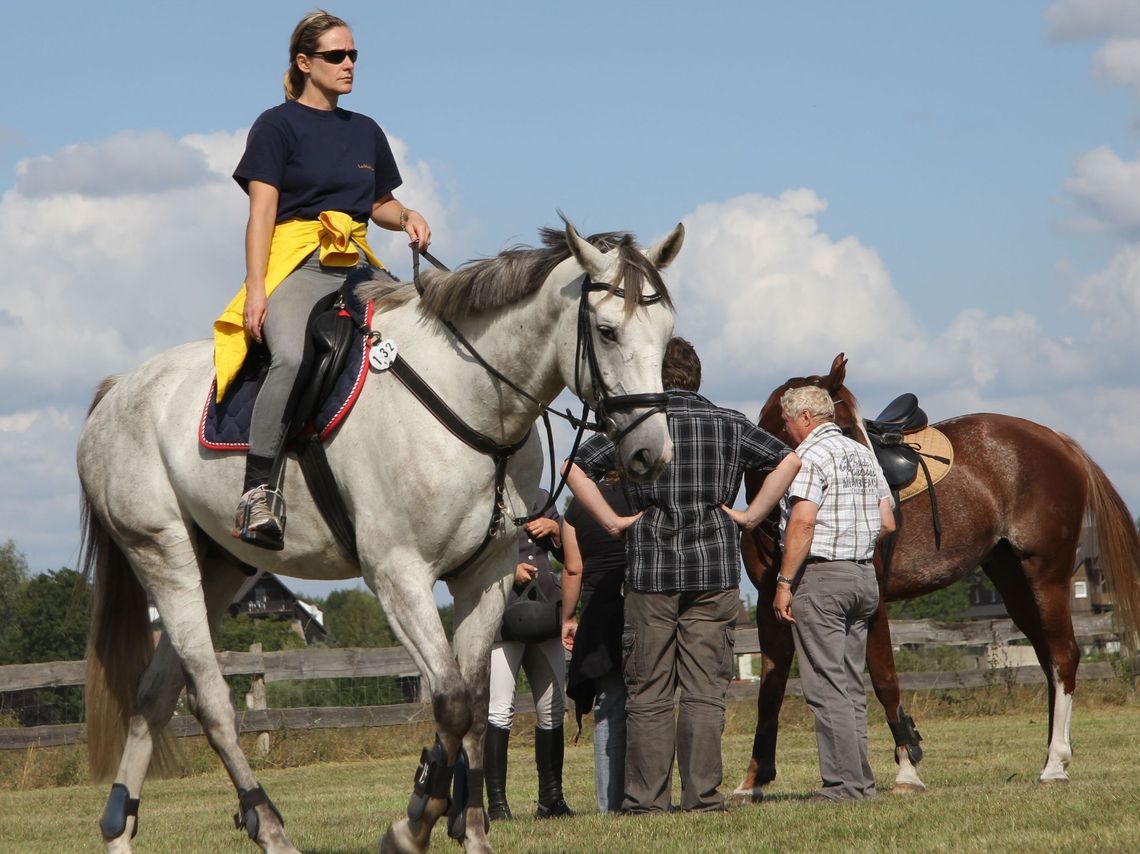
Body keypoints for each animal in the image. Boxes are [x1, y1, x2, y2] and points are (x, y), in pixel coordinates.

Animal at [82, 221, 684, 852]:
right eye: (607, 331)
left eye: (667, 333)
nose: (651, 455)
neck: (471, 395)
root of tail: (119, 390)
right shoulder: (399, 575)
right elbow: (450, 702)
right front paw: (412, 825)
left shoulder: (486, 576)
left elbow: (472, 703)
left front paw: (468, 828)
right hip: (163, 553)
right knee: (210, 699)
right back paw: (267, 826)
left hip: (219, 566)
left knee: (155, 695)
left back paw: (121, 829)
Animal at [729, 353, 1140, 798]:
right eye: (841, 432)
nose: (879, 503)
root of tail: (1059, 442)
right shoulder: (773, 607)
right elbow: (770, 691)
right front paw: (752, 781)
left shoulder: (872, 602)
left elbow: (884, 679)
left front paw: (908, 768)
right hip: (1014, 583)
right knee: (1049, 660)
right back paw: (1051, 757)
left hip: (1047, 576)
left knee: (1064, 656)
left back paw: (1055, 764)